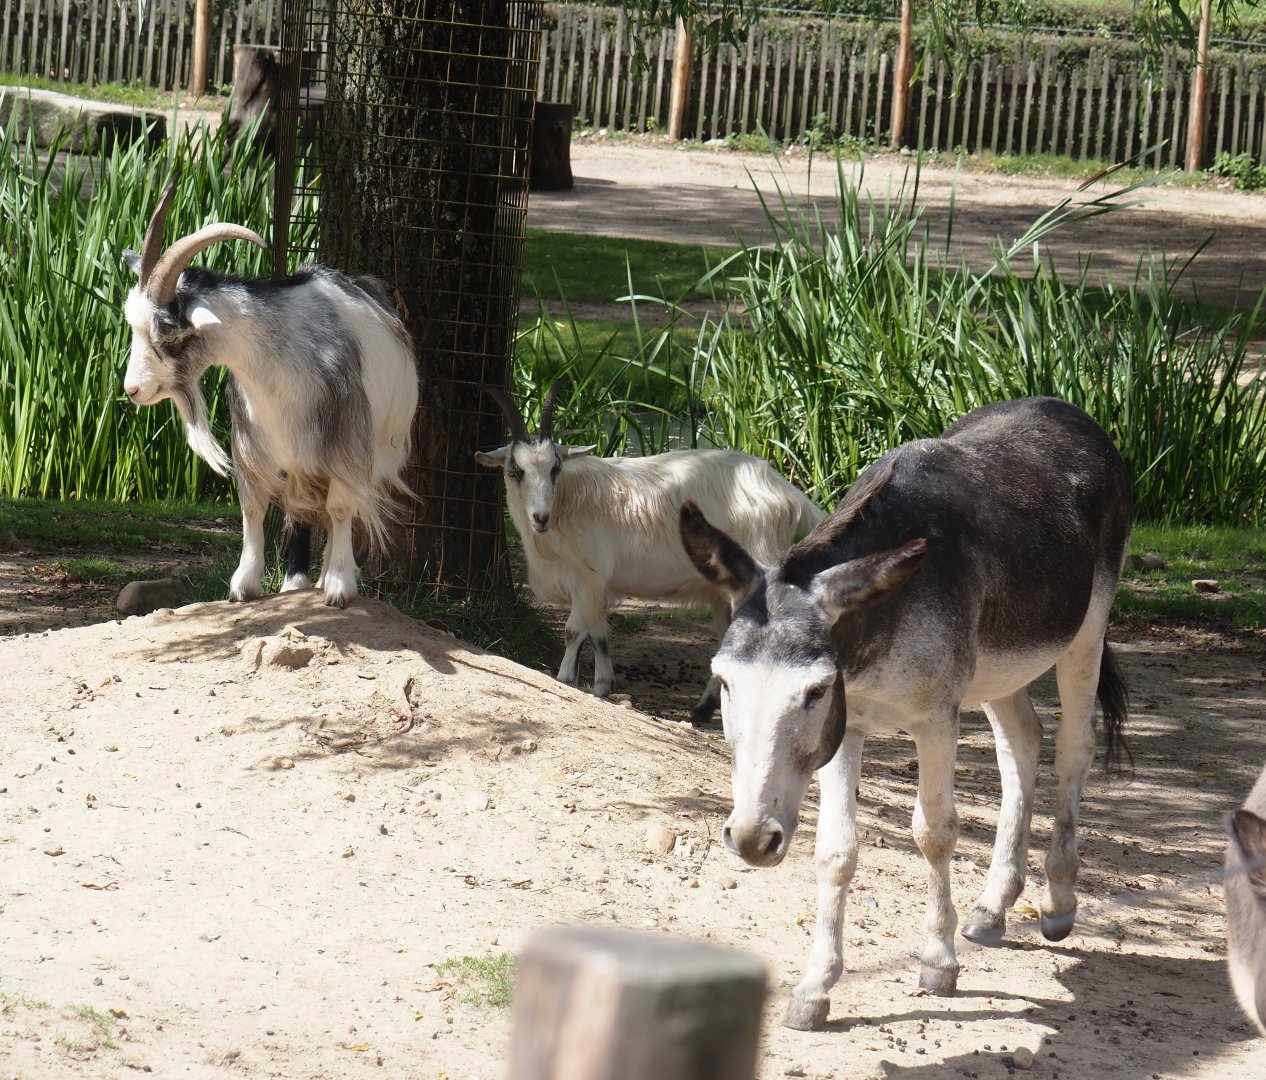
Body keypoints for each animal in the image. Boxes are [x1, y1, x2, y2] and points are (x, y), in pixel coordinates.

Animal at [121, 177, 418, 608]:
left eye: (172, 334)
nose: (133, 389)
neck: (275, 363)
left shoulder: (345, 441)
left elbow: (341, 506)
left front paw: (339, 586)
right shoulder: (251, 441)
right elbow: (253, 506)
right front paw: (244, 584)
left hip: (373, 448)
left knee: (337, 505)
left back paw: (327, 574)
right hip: (297, 455)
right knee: (299, 506)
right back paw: (295, 582)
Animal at [475, 382, 825, 722]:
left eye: (555, 469)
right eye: (515, 470)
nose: (540, 517)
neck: (567, 504)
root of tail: (786, 491)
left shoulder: (588, 577)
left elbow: (574, 631)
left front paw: (564, 679)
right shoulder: (596, 586)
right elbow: (599, 634)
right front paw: (602, 686)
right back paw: (703, 709)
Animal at [679, 397, 1132, 1029]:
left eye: (814, 692)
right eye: (724, 682)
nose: (750, 839)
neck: (875, 627)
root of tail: (1062, 408)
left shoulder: (934, 718)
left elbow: (934, 833)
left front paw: (939, 963)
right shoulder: (847, 729)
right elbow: (836, 851)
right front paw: (815, 987)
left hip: (1085, 633)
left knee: (1074, 747)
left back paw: (1058, 902)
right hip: (999, 669)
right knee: (1022, 742)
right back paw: (993, 909)